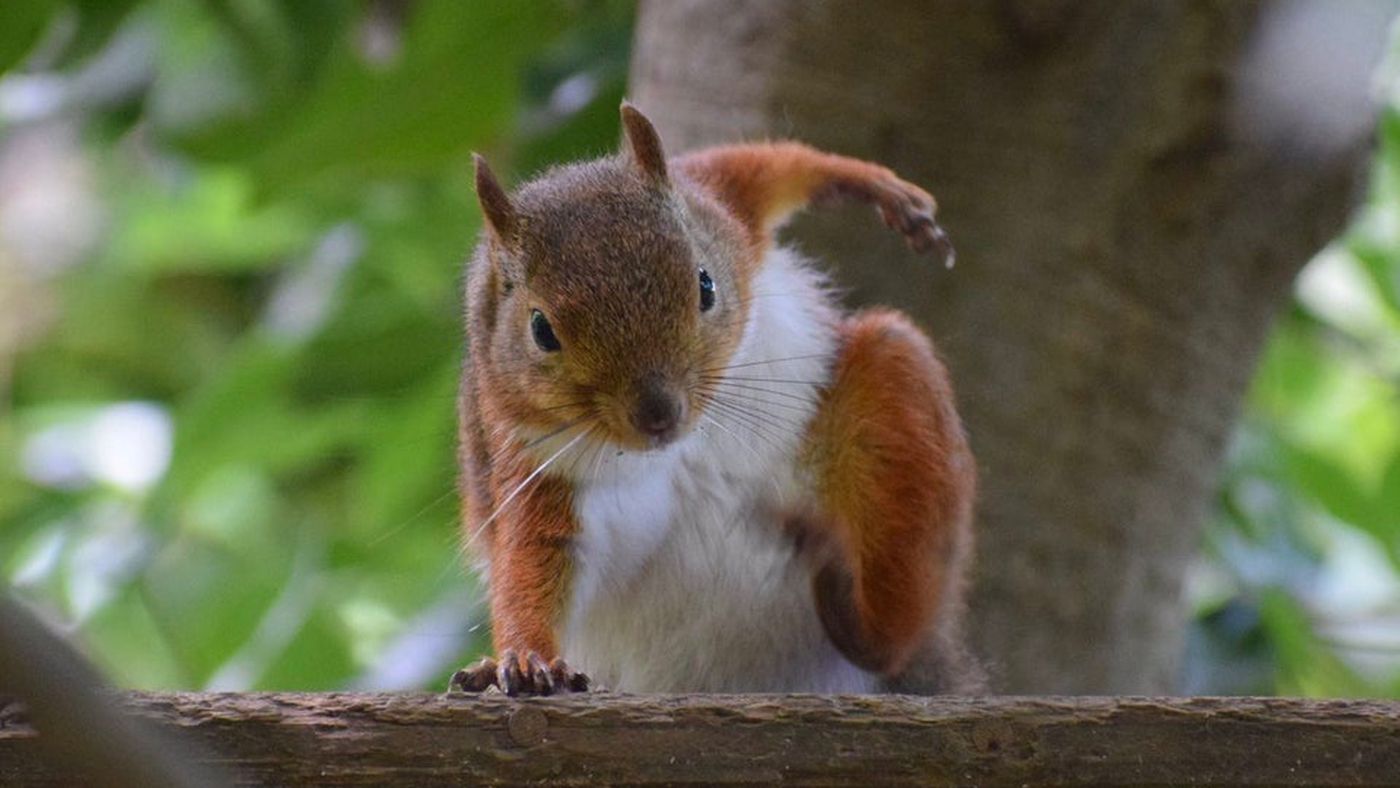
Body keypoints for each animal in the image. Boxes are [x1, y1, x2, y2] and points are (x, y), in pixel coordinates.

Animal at [451, 103, 982, 696]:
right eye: (541, 330)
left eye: (705, 284)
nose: (659, 415)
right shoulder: (535, 465)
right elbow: (535, 560)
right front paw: (526, 659)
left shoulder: (718, 206)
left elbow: (760, 168)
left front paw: (872, 184)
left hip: (895, 396)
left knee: (892, 628)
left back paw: (858, 607)